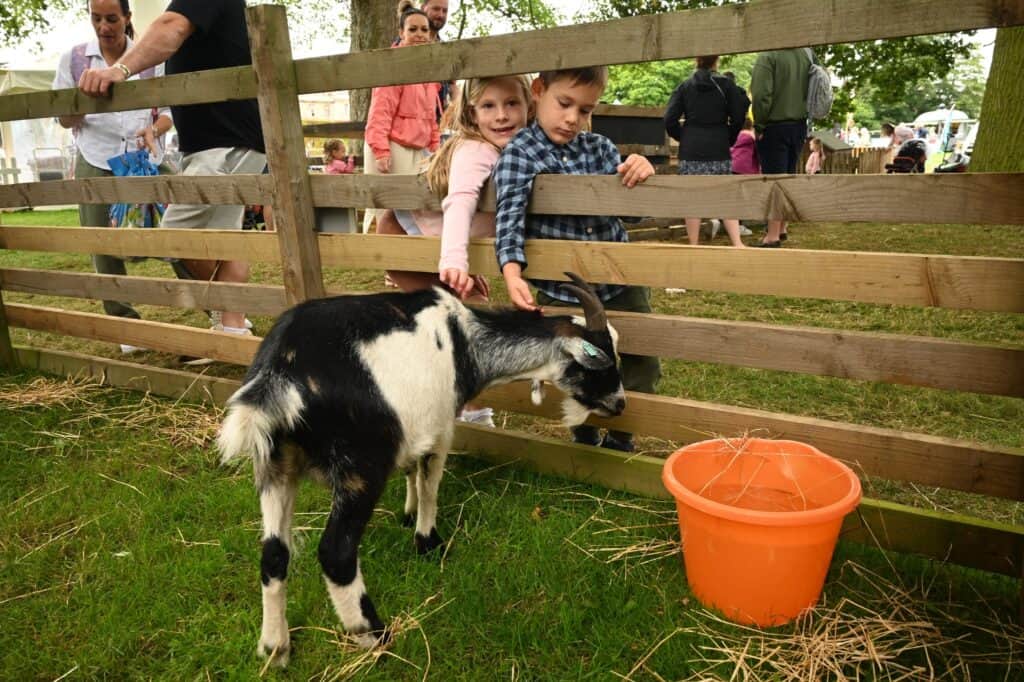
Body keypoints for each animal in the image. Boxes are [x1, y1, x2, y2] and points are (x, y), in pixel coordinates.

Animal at [218, 272, 622, 663]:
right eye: (603, 360)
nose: (619, 404)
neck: (466, 339)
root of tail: (279, 376)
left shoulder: (417, 428)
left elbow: (413, 470)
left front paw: (408, 512)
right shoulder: (441, 428)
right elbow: (430, 486)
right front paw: (428, 541)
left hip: (274, 464)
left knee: (274, 553)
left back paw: (275, 648)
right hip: (361, 466)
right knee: (336, 553)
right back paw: (374, 635)